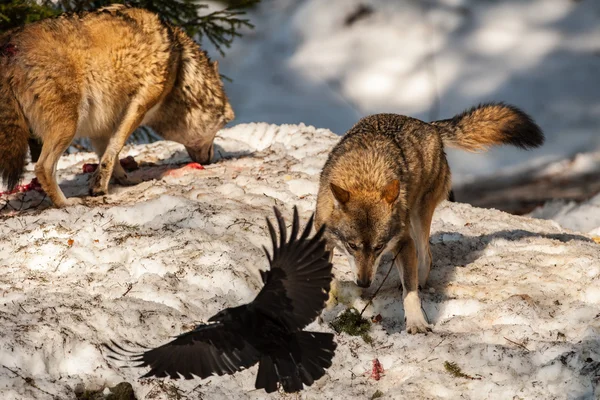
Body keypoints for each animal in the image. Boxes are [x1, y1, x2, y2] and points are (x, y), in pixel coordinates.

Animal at [0, 4, 234, 208]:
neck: (180, 68)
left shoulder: (100, 125)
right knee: (42, 167)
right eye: (221, 126)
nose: (210, 160)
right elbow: (116, 147)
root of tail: (10, 45)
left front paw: (121, 180)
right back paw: (65, 203)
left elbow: (109, 154)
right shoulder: (138, 106)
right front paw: (100, 186)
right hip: (68, 126)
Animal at [316, 104, 548, 334]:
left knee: (426, 257)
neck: (365, 177)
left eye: (379, 247)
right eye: (352, 246)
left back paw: (419, 281)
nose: (364, 283)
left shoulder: (403, 242)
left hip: (419, 218)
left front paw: (417, 323)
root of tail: (430, 126)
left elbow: (410, 293)